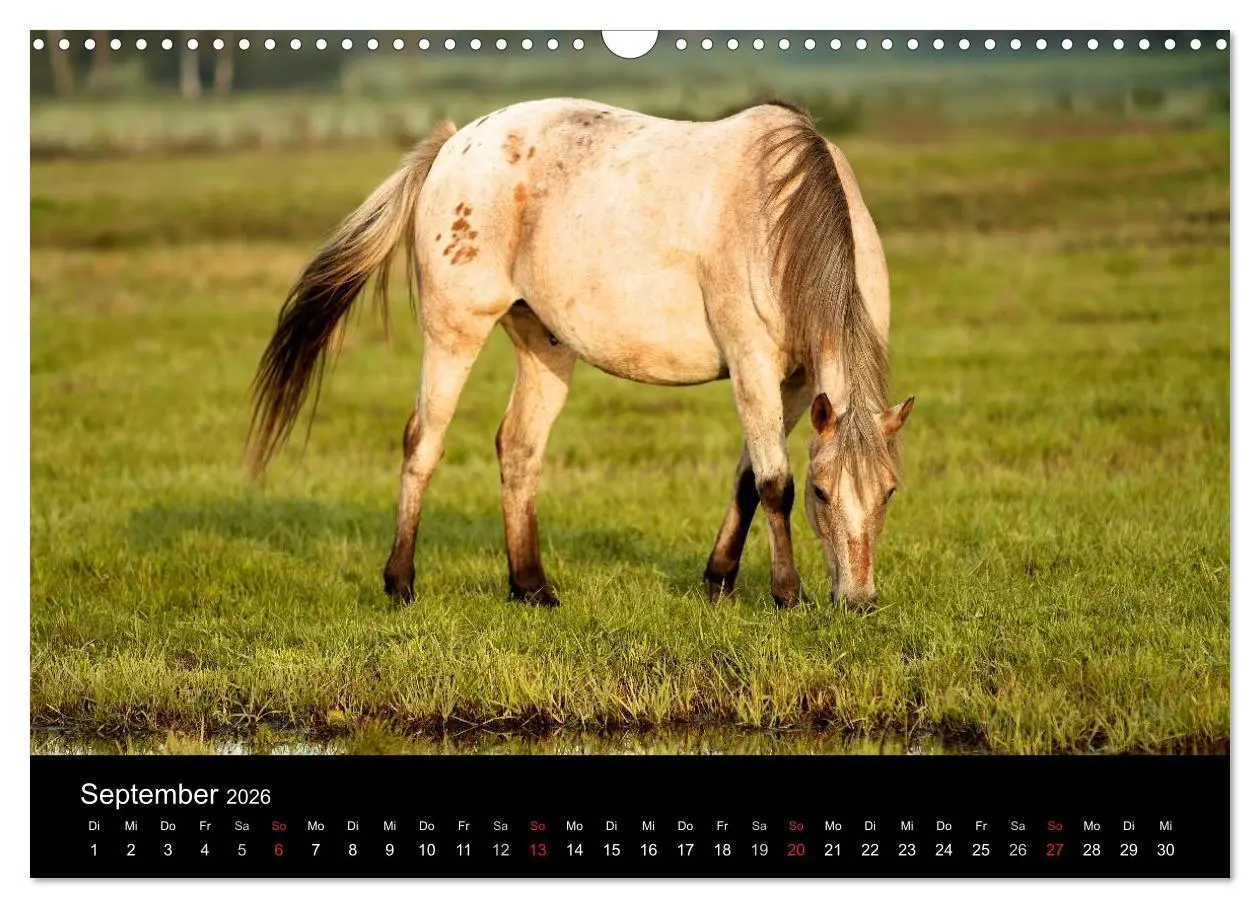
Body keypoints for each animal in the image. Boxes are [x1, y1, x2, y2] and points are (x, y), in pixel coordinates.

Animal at [247, 97, 914, 611]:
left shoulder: (798, 382)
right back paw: (401, 583)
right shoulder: (753, 365)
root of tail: (454, 144)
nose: (857, 602)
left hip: (545, 347)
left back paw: (531, 587)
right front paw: (786, 594)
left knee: (519, 448)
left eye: (889, 493)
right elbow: (775, 482)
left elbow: (749, 478)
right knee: (423, 442)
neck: (781, 220)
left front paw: (719, 580)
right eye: (822, 493)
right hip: (453, 331)